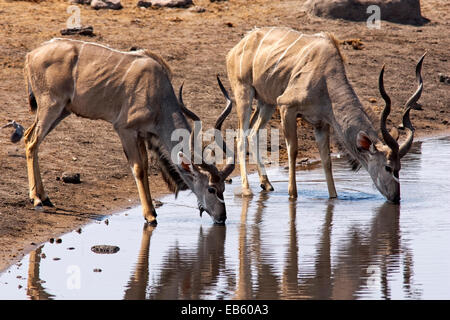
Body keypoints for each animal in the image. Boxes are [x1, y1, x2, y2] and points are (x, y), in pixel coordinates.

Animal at [20, 38, 236, 225]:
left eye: (224, 187)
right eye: (211, 188)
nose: (222, 217)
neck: (157, 94)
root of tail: (31, 55)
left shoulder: (142, 135)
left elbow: (146, 167)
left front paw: (152, 210)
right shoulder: (125, 130)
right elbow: (138, 169)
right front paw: (150, 215)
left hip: (62, 111)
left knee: (28, 136)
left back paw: (44, 197)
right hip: (51, 107)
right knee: (32, 141)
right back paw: (36, 199)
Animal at [227, 27, 424, 202]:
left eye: (400, 167)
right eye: (388, 167)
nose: (396, 197)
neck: (326, 79)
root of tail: (237, 47)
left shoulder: (321, 123)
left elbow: (326, 159)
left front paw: (333, 197)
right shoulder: (286, 106)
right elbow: (293, 150)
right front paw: (292, 194)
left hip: (266, 103)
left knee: (253, 132)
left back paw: (266, 183)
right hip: (244, 92)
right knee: (241, 136)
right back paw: (247, 190)